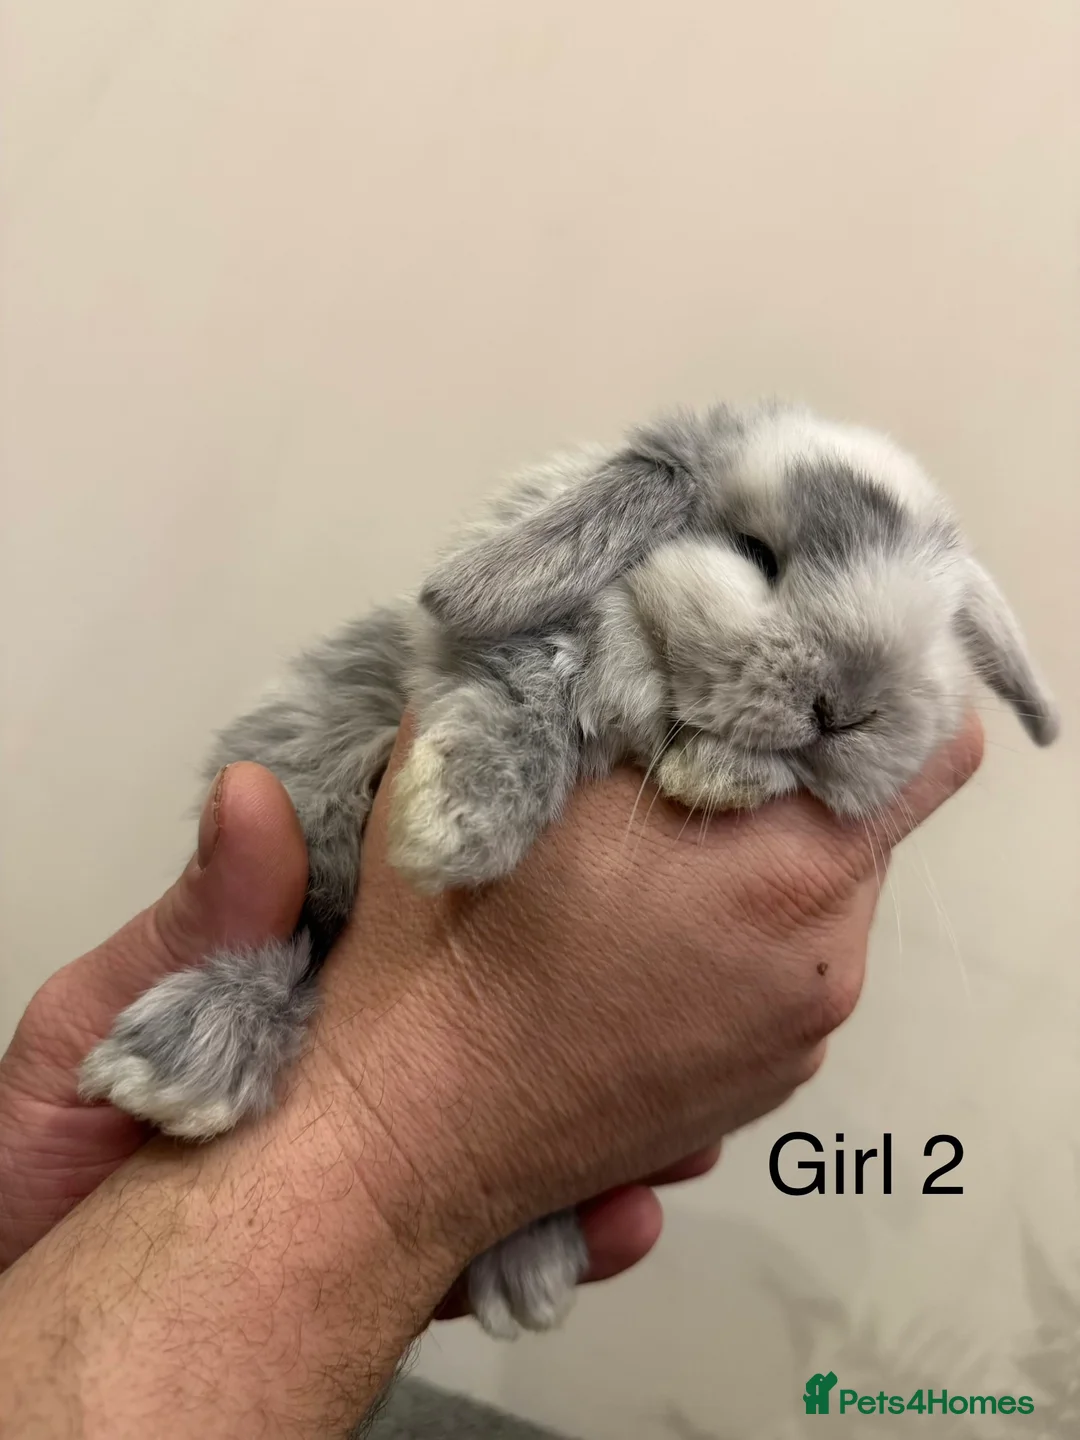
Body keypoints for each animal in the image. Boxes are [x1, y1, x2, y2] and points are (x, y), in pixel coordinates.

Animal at [79, 400, 1058, 1339]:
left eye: (938, 631)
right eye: (755, 554)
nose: (849, 708)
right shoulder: (491, 668)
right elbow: (525, 692)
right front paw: (450, 828)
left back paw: (530, 1276)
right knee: (298, 945)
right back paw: (180, 1068)